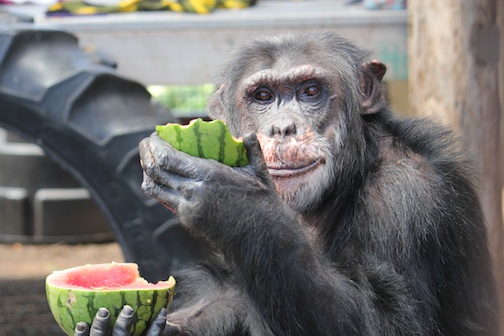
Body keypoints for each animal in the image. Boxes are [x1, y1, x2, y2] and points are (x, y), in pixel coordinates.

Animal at [77, 32, 498, 336]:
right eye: (263, 96)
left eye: (310, 90)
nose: (283, 127)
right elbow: (232, 289)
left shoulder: (407, 195)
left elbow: (392, 323)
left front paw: (235, 203)